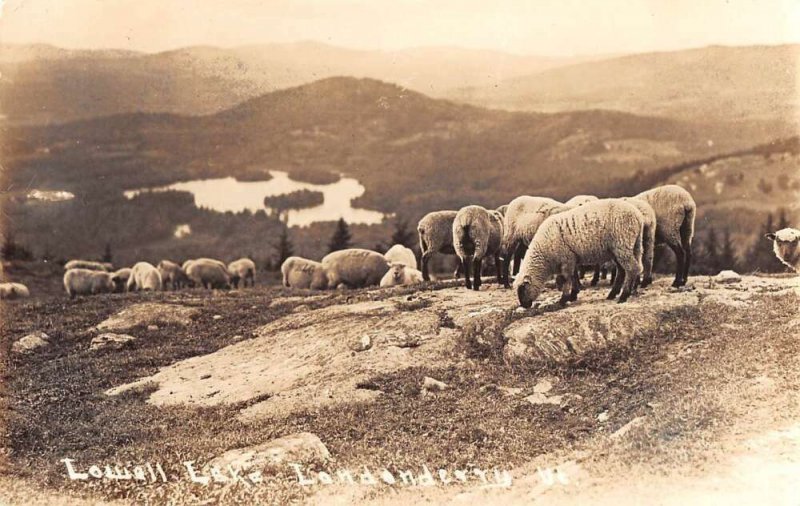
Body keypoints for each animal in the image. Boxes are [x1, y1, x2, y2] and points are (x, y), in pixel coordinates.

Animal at [512, 200, 644, 306]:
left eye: (522, 288)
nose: (524, 305)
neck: (545, 255)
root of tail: (637, 216)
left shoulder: (566, 259)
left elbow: (567, 278)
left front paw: (564, 299)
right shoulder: (572, 257)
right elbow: (574, 276)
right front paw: (573, 294)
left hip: (622, 244)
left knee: (631, 268)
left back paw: (624, 295)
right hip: (628, 246)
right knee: (624, 270)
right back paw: (615, 293)